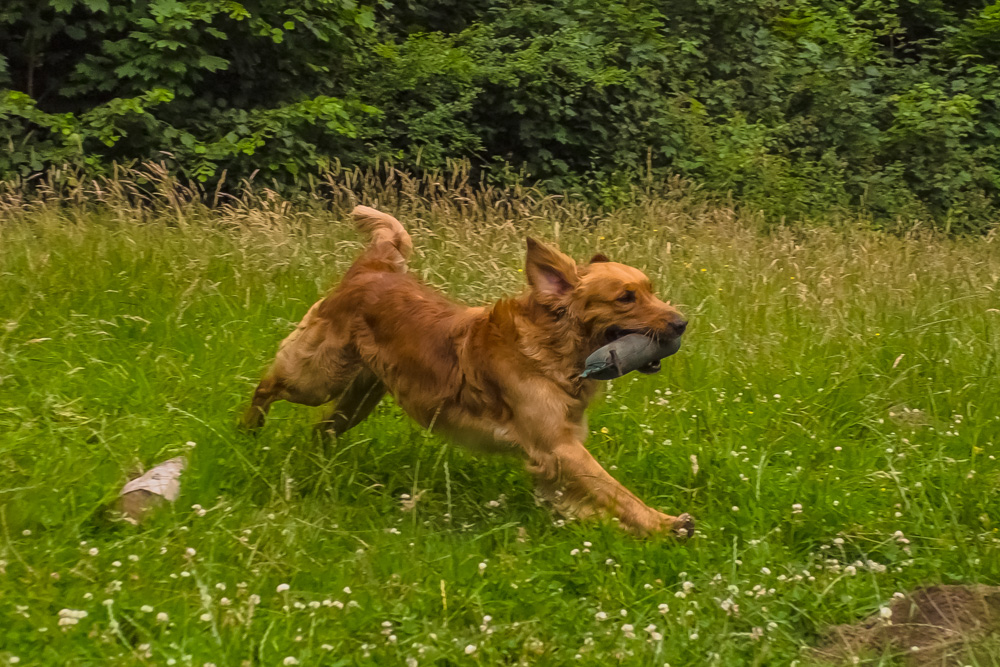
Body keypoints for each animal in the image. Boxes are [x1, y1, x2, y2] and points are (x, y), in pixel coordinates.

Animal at [243, 206, 693, 537]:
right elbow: (617, 492)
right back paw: (249, 430)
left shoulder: (556, 454)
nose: (681, 323)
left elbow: (595, 497)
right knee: (267, 384)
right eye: (626, 298)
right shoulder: (558, 446)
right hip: (319, 376)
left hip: (360, 397)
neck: (552, 350)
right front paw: (665, 524)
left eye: (650, 290)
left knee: (322, 428)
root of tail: (374, 267)